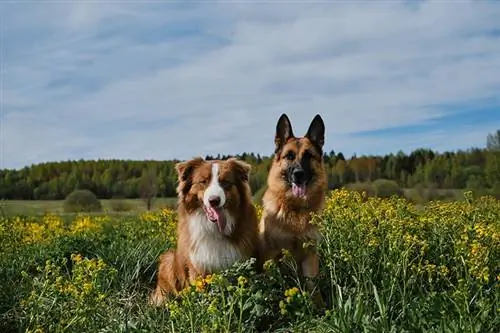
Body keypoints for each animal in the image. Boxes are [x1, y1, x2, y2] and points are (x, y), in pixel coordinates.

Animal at [149, 156, 258, 304]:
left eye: (226, 182)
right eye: (203, 182)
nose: (214, 200)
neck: (214, 228)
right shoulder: (198, 266)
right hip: (168, 259)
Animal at [258, 113, 328, 302]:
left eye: (308, 155)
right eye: (289, 156)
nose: (298, 174)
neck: (296, 209)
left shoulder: (310, 256)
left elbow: (313, 287)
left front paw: (319, 308)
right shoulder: (279, 254)